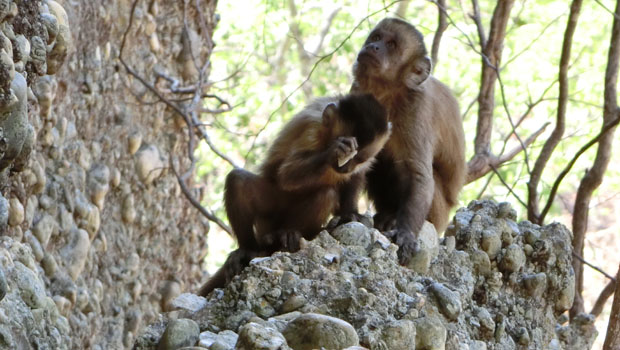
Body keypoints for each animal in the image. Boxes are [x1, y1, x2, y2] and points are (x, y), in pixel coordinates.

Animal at [197, 93, 392, 296]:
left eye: (359, 158)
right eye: (346, 155)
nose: (345, 167)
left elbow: (356, 176)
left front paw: (350, 214)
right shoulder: (312, 128)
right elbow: (287, 174)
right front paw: (334, 151)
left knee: (325, 195)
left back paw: (291, 234)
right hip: (270, 213)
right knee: (238, 181)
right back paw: (249, 249)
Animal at [348, 17, 464, 266]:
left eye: (391, 45)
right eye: (376, 37)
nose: (373, 47)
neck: (389, 94)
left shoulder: (416, 108)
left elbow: (418, 175)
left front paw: (405, 233)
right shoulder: (358, 94)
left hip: (439, 214)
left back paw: (392, 218)